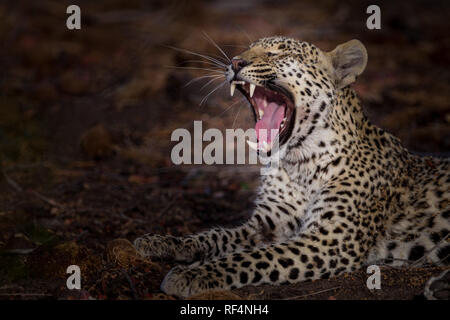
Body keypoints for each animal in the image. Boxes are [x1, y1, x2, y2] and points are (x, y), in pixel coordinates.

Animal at [134, 37, 450, 298]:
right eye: (247, 49)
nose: (235, 62)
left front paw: (193, 274)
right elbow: (215, 235)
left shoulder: (328, 241)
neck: (299, 162)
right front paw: (163, 243)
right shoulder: (268, 223)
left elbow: (253, 257)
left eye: (279, 52)